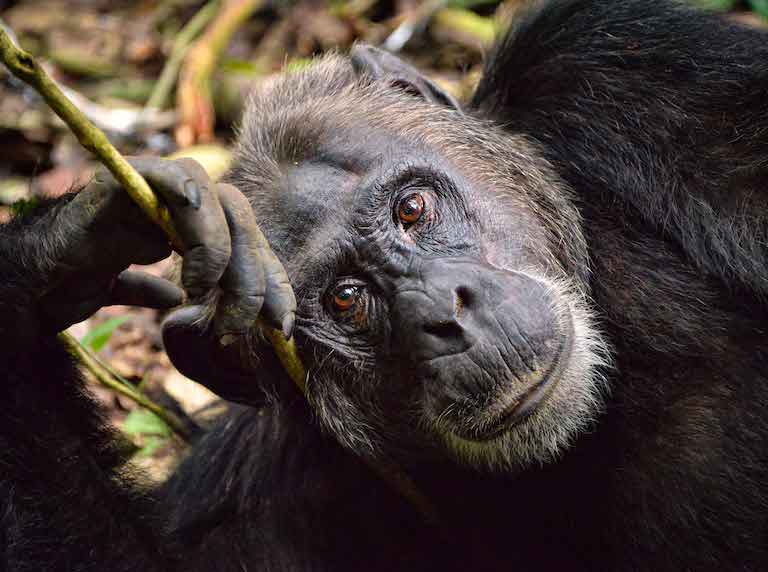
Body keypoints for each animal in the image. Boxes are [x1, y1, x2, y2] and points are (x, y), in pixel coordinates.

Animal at [1, 0, 768, 568]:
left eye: (412, 209)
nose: (445, 314)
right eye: (345, 299)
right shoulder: (267, 491)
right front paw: (70, 243)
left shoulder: (621, 66)